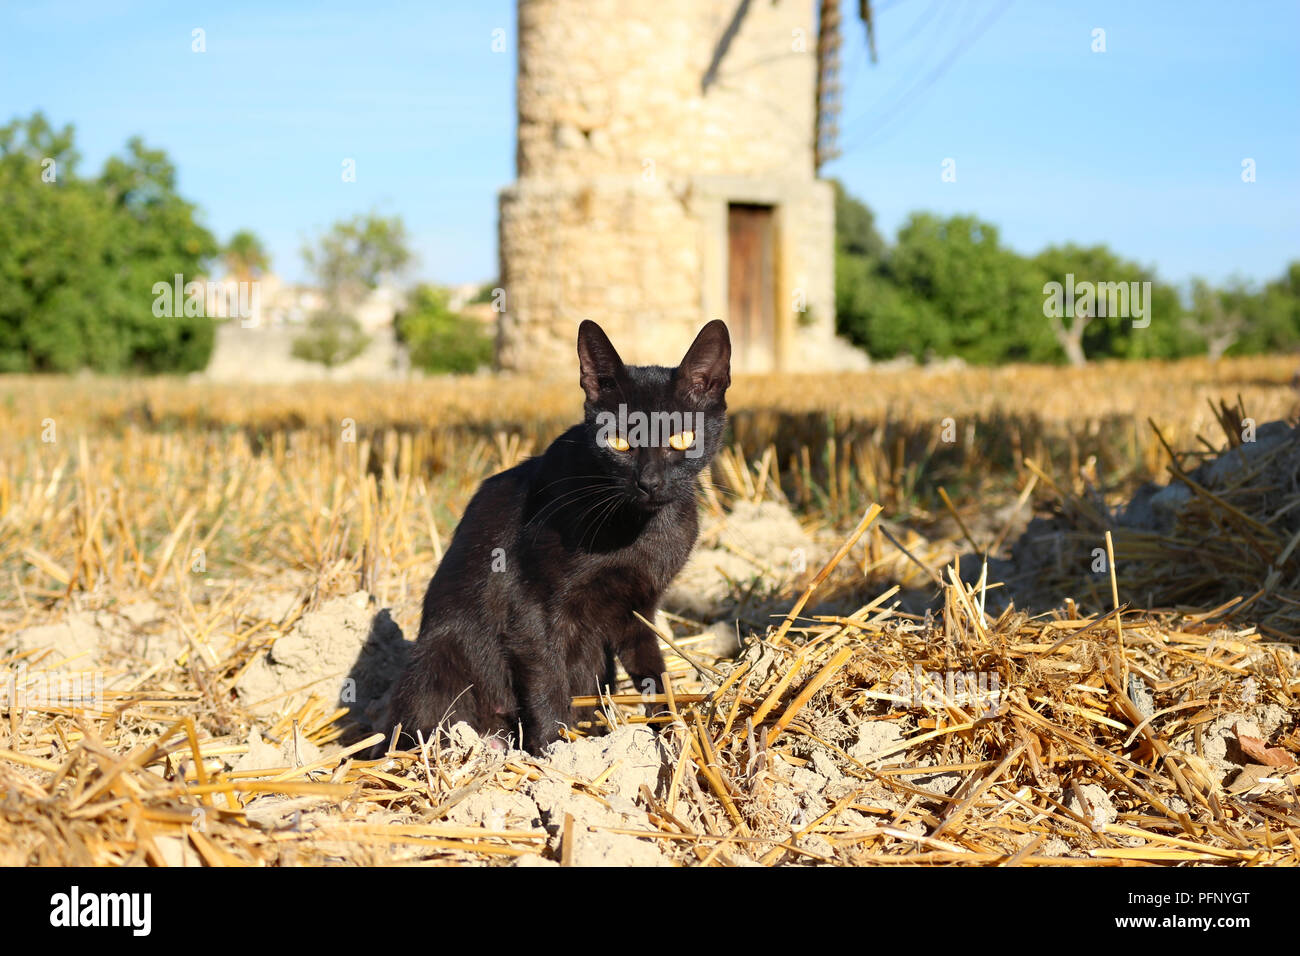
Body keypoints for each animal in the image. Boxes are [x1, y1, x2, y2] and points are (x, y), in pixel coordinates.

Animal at [384, 317, 733, 749]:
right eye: (618, 442)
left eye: (681, 438)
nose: (650, 482)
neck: (642, 531)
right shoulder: (531, 608)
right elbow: (547, 682)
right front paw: (558, 753)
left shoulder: (638, 611)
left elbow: (654, 672)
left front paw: (673, 733)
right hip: (438, 655)